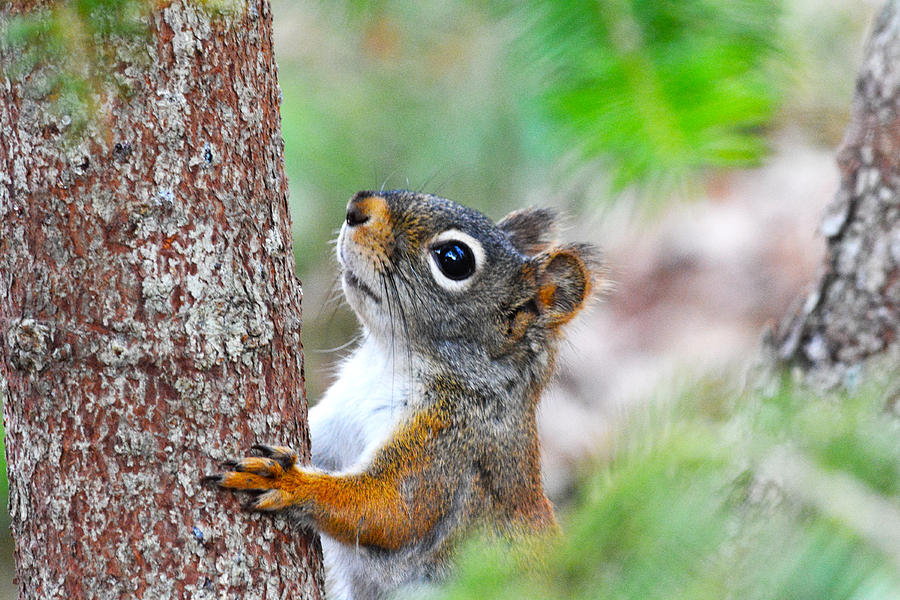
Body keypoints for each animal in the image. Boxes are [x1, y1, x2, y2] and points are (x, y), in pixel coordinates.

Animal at [207, 190, 600, 596]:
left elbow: (389, 509)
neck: (385, 362)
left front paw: (287, 481)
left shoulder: (450, 443)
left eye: (454, 258)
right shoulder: (337, 421)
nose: (357, 207)